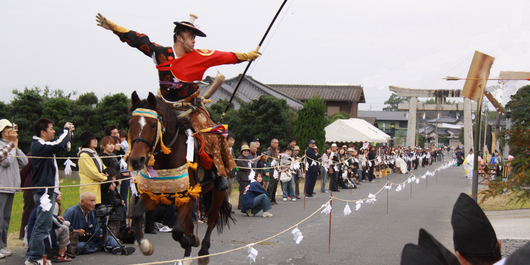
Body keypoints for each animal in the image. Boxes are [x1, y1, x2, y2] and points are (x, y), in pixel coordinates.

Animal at [127, 91, 232, 264]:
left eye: (153, 125)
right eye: (130, 124)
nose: (136, 160)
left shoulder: (188, 197)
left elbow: (176, 231)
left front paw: (191, 241)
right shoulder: (156, 196)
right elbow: (136, 213)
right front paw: (145, 246)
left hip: (218, 191)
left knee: (212, 218)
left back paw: (203, 252)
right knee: (189, 224)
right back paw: (188, 254)